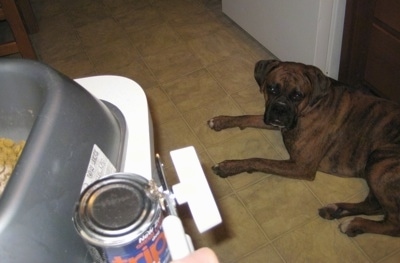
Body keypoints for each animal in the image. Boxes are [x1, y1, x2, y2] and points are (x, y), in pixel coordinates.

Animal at [208, 60, 400, 238]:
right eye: (272, 88)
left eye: (297, 95)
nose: (280, 109)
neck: (312, 106)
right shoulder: (273, 121)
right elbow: (247, 117)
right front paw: (220, 121)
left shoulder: (300, 166)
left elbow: (258, 160)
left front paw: (228, 166)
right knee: (375, 205)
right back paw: (336, 210)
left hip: (380, 163)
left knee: (393, 223)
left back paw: (354, 224)